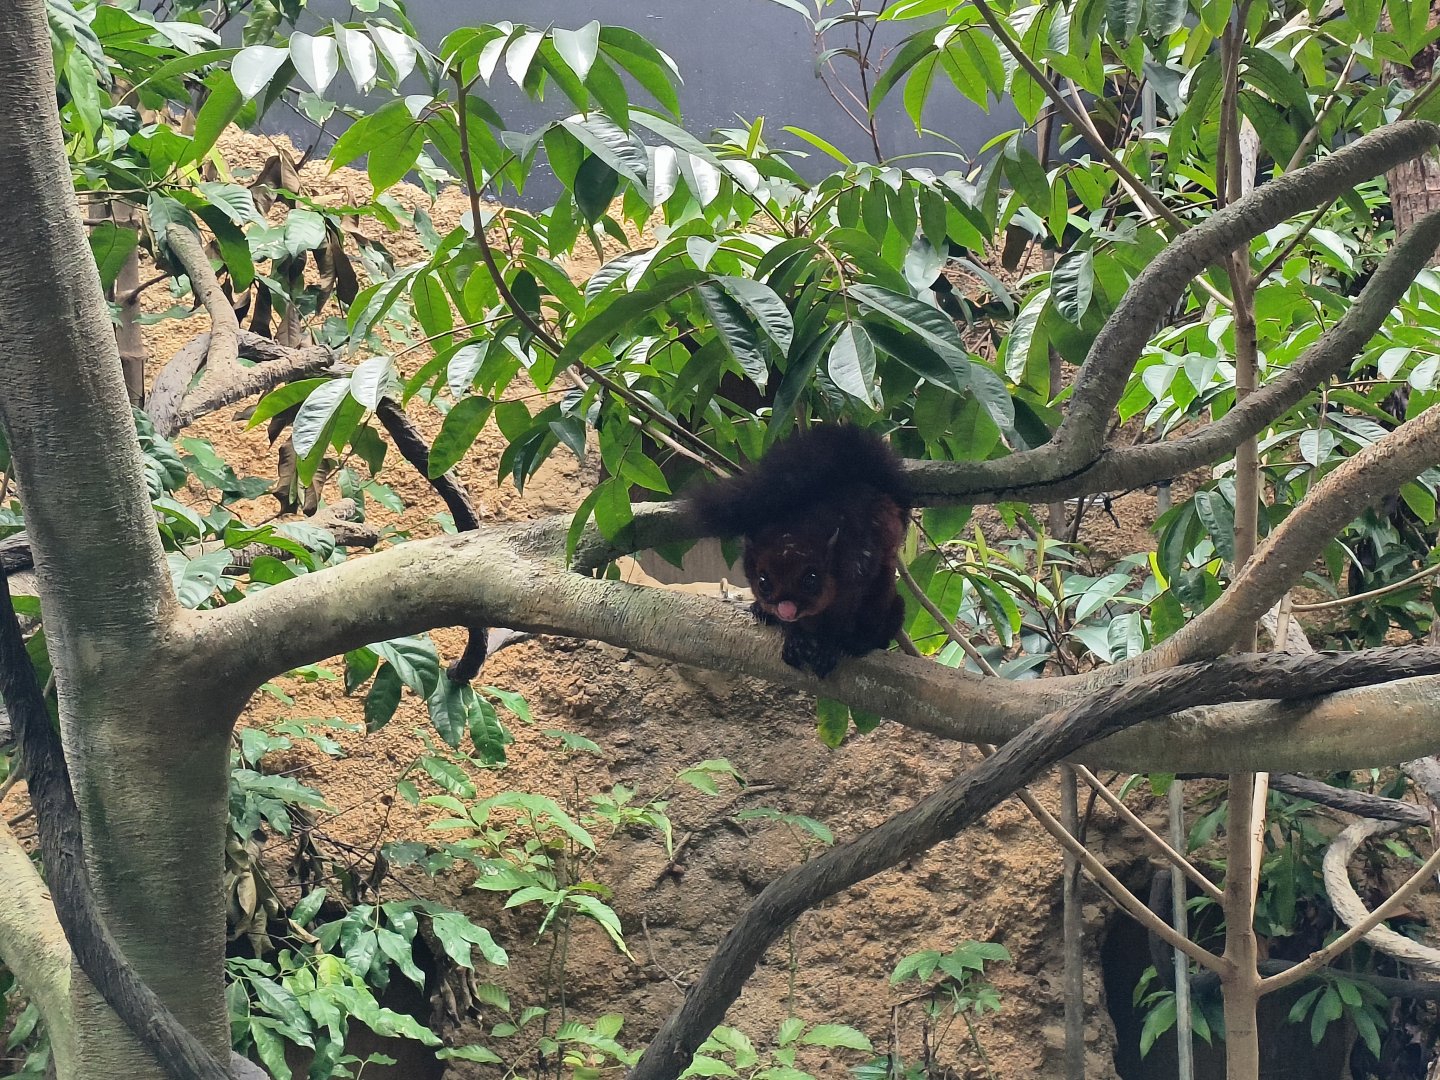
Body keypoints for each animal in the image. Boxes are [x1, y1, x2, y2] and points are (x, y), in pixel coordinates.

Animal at [688, 425, 912, 678]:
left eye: (810, 580)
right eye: (763, 582)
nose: (786, 609)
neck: (799, 529)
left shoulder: (856, 575)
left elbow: (839, 619)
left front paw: (827, 647)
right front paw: (794, 639)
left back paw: (860, 641)